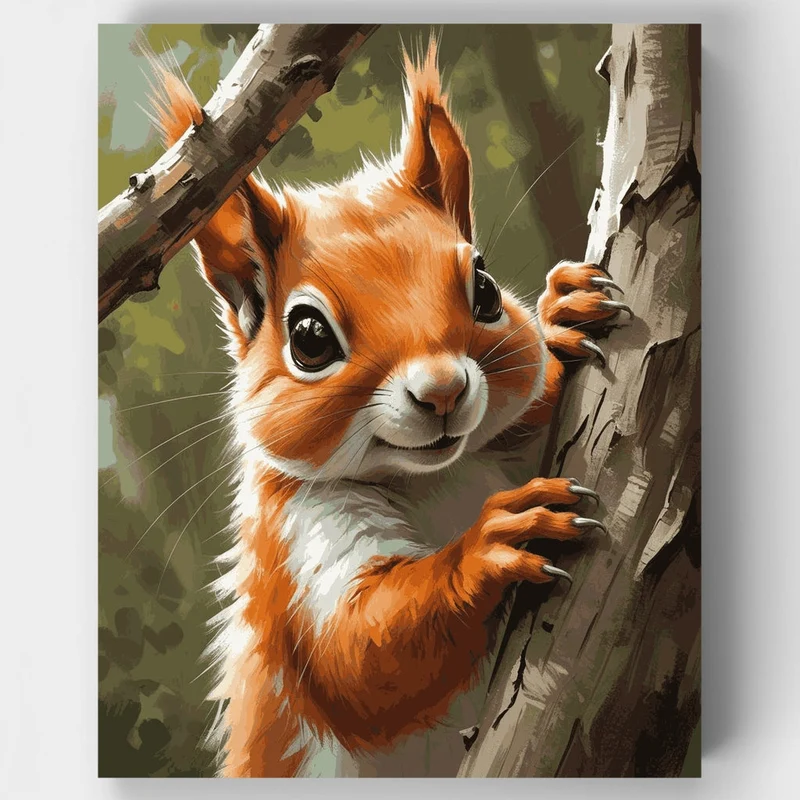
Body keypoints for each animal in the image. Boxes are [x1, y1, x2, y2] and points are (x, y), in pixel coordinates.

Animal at [145, 40, 627, 777]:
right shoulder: (297, 552)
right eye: (309, 338)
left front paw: (561, 317)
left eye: (486, 290)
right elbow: (361, 656)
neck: (437, 477)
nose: (444, 391)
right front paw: (494, 542)